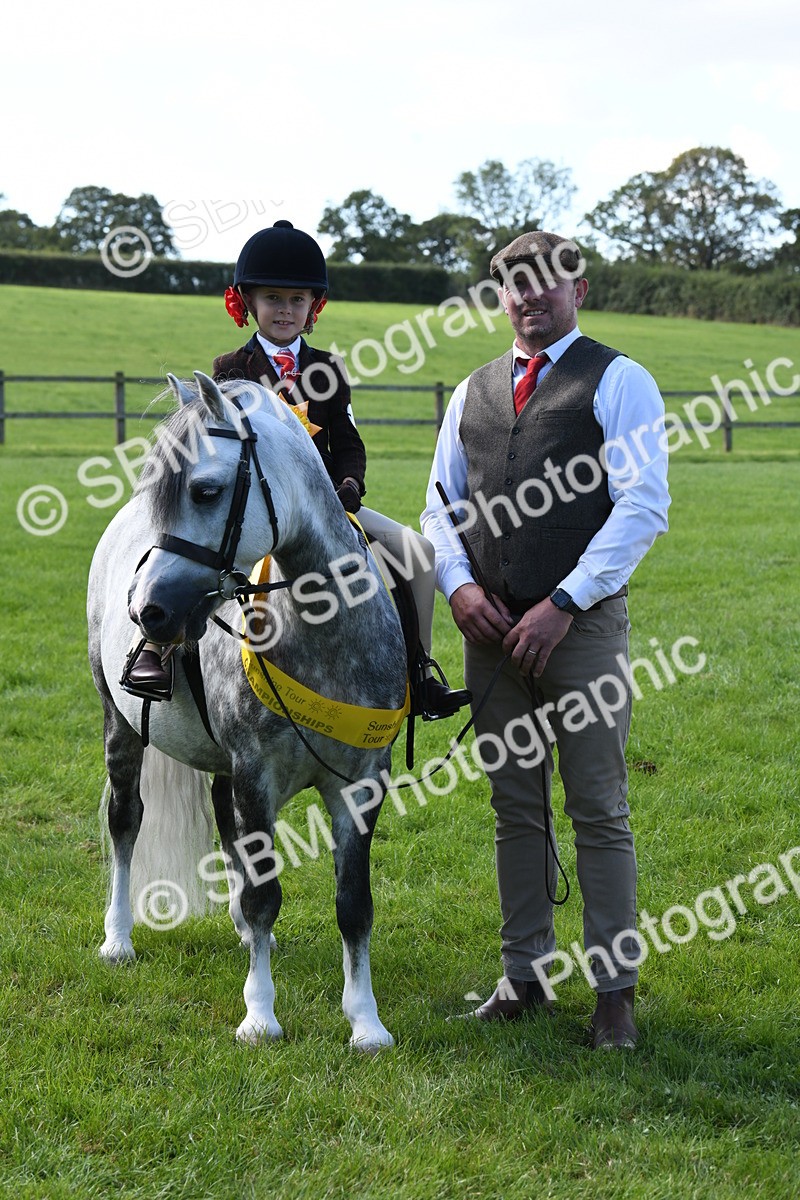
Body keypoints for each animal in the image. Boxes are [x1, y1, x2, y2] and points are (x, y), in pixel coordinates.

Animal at [87, 372, 407, 1049]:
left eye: (206, 490)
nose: (148, 609)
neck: (322, 637)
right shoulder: (256, 776)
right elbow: (266, 895)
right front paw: (259, 1015)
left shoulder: (361, 784)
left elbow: (354, 903)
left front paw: (366, 1022)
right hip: (120, 727)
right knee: (125, 821)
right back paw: (118, 939)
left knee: (221, 818)